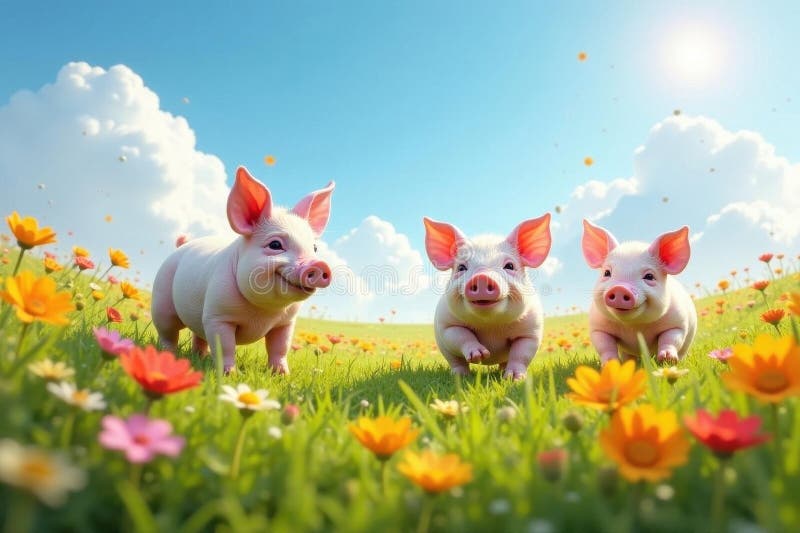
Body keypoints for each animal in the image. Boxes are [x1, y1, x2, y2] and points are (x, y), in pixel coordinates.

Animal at [151, 166, 334, 374]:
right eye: (275, 244)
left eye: (315, 248)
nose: (319, 265)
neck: (263, 312)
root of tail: (182, 246)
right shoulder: (218, 316)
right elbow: (225, 346)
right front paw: (230, 374)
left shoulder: (286, 322)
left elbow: (280, 347)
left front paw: (283, 375)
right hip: (161, 299)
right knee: (168, 332)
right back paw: (169, 354)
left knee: (199, 336)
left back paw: (201, 357)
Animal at [423, 214, 552, 380]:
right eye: (461, 267)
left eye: (509, 266)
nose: (482, 277)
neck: (490, 325)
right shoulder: (446, 325)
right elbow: (461, 336)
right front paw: (479, 355)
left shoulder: (531, 331)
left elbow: (521, 354)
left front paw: (514, 379)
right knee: (456, 361)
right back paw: (460, 376)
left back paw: (502, 372)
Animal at [581, 219, 697, 365]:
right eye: (607, 273)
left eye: (649, 276)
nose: (620, 288)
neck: (634, 327)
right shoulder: (598, 327)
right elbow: (604, 345)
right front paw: (610, 363)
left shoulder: (677, 323)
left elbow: (671, 338)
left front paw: (666, 359)